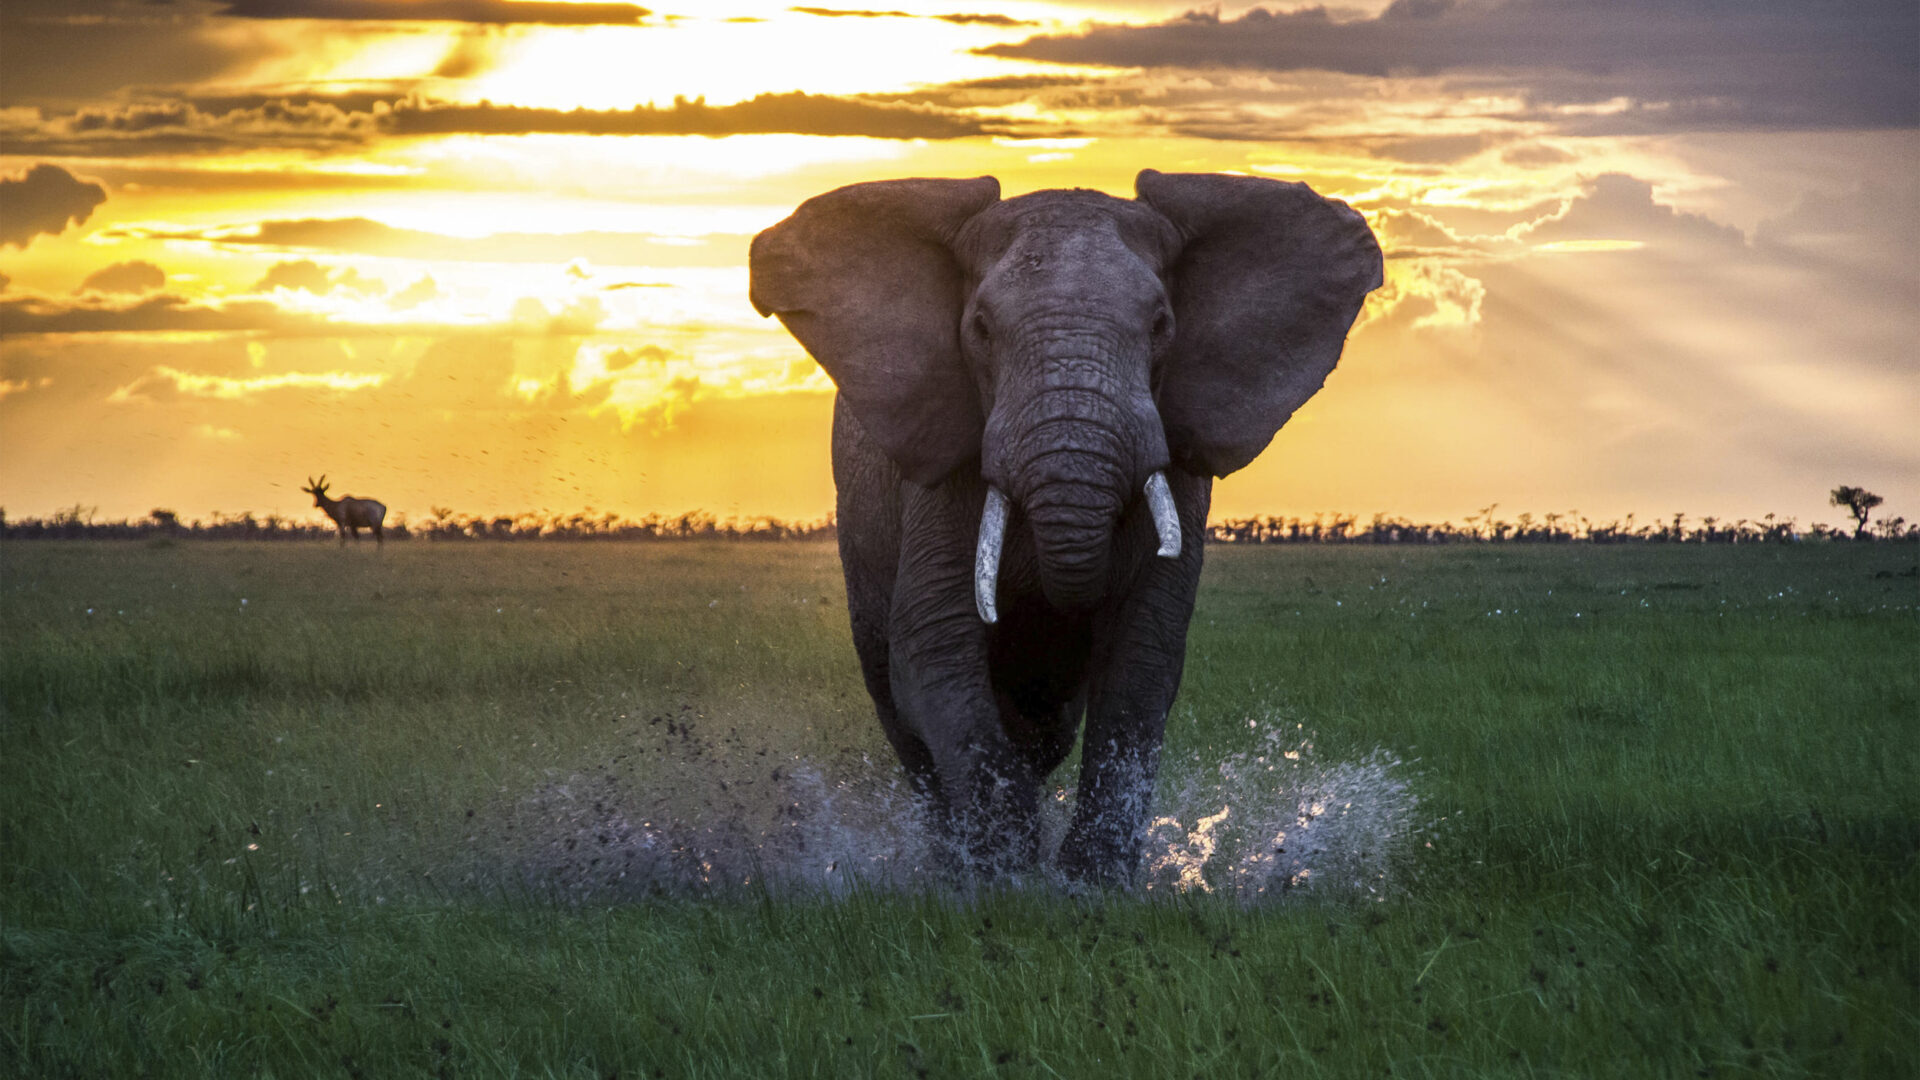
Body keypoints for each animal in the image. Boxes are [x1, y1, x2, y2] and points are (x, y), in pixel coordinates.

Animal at [749, 169, 1382, 884]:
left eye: (1161, 324)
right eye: (980, 328)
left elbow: (1142, 656)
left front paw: (1087, 883)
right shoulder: (944, 473)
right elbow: (933, 648)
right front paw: (1007, 875)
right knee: (902, 711)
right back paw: (946, 863)